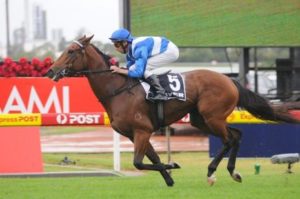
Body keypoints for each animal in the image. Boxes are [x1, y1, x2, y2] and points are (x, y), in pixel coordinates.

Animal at [45, 35, 298, 187]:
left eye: (71, 51)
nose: (51, 70)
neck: (118, 90)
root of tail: (230, 80)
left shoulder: (142, 130)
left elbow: (139, 163)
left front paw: (172, 165)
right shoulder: (134, 134)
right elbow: (152, 158)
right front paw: (169, 178)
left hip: (212, 117)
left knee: (229, 139)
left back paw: (212, 172)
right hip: (201, 119)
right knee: (236, 135)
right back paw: (232, 171)